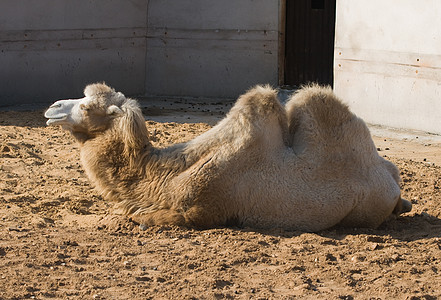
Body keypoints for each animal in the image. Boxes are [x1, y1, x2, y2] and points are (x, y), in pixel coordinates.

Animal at [43, 83, 410, 231]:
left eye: (88, 106)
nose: (52, 107)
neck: (162, 176)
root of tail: (392, 186)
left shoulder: (201, 210)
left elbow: (145, 217)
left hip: (363, 212)